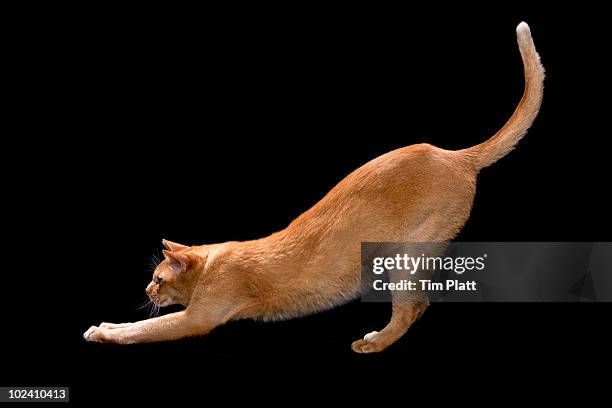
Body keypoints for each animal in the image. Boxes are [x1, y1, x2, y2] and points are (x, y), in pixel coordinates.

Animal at [83, 22, 544, 352]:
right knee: (421, 304)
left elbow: (142, 328)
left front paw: (102, 329)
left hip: (406, 253)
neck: (216, 261)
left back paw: (373, 343)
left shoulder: (198, 317)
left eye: (158, 280)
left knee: (412, 306)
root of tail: (453, 154)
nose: (146, 289)